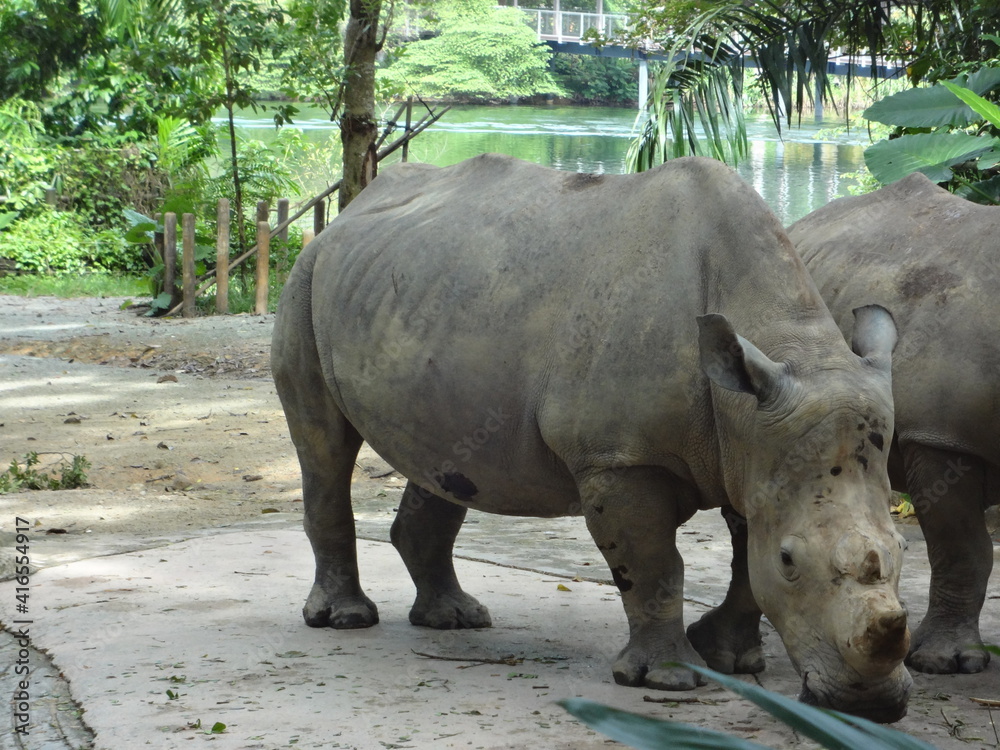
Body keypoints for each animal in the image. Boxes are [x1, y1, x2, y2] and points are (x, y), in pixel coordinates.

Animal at [272, 154, 911, 721]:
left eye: (904, 549)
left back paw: (455, 619)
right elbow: (655, 565)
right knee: (324, 446)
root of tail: (354, 208)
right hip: (305, 276)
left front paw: (731, 660)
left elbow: (744, 559)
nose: (872, 706)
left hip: (425, 298)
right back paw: (346, 620)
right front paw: (669, 678)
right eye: (791, 561)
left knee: (443, 459)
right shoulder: (618, 457)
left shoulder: (755, 445)